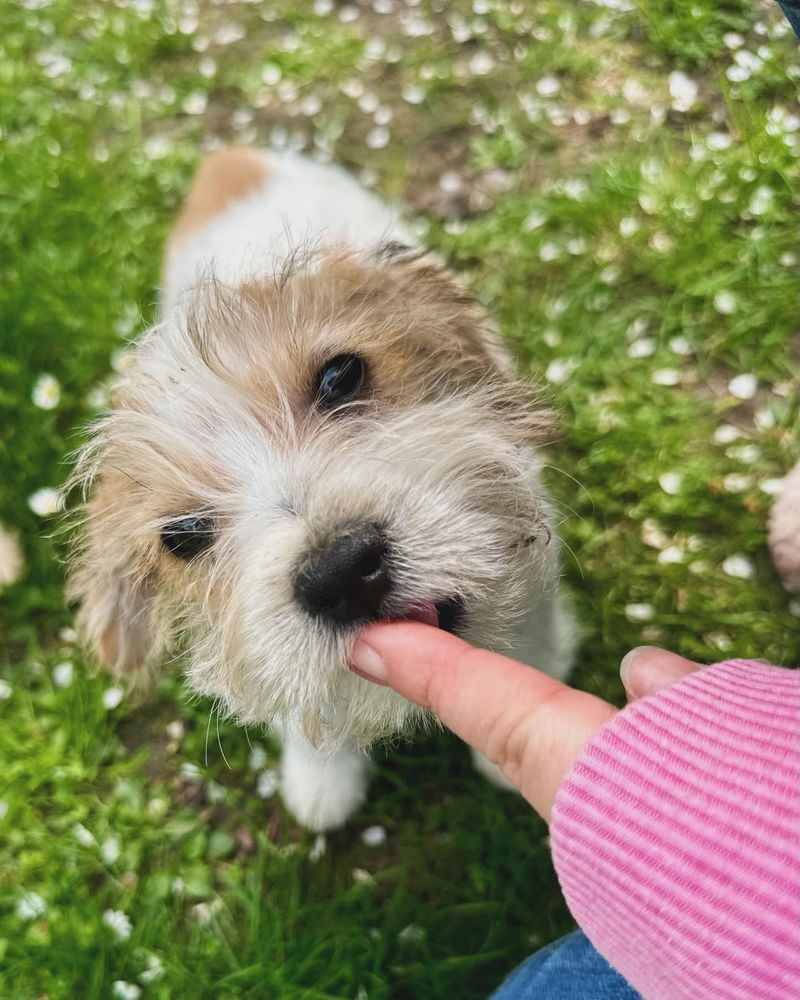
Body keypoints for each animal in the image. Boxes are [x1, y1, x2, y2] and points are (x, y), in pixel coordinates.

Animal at [67, 148, 576, 832]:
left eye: (340, 376)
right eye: (182, 536)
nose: (339, 572)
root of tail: (229, 156)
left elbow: (529, 634)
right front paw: (321, 781)